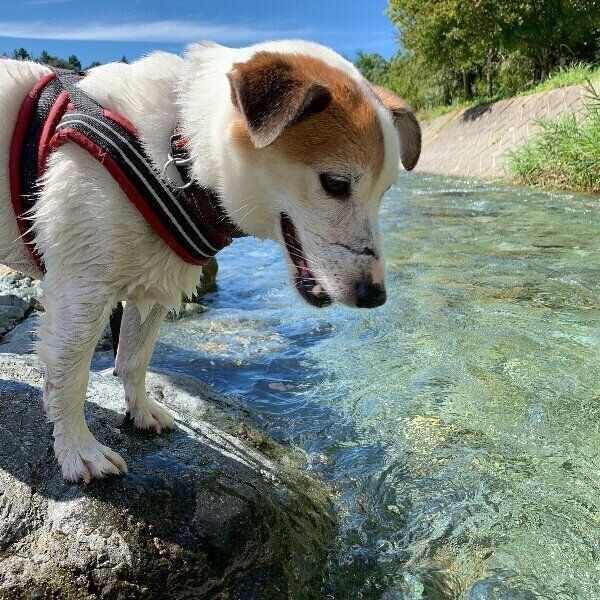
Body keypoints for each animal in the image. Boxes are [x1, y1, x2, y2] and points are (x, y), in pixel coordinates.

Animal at [0, 39, 422, 482]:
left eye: (385, 191)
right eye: (336, 184)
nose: (375, 295)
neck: (177, 148)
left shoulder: (154, 288)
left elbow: (134, 358)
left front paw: (141, 410)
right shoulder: (80, 291)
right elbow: (69, 378)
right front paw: (78, 449)